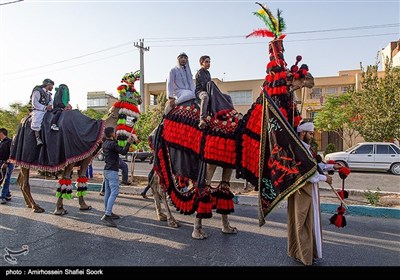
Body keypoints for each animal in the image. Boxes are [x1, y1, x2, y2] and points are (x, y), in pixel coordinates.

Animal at [152, 2, 318, 238]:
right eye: (290, 71)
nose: (310, 78)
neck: (237, 129)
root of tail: (160, 122)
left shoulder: (228, 162)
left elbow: (224, 188)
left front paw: (227, 227)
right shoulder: (209, 160)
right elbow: (204, 189)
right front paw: (198, 231)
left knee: (159, 184)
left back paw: (163, 216)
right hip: (164, 150)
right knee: (160, 184)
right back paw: (171, 219)